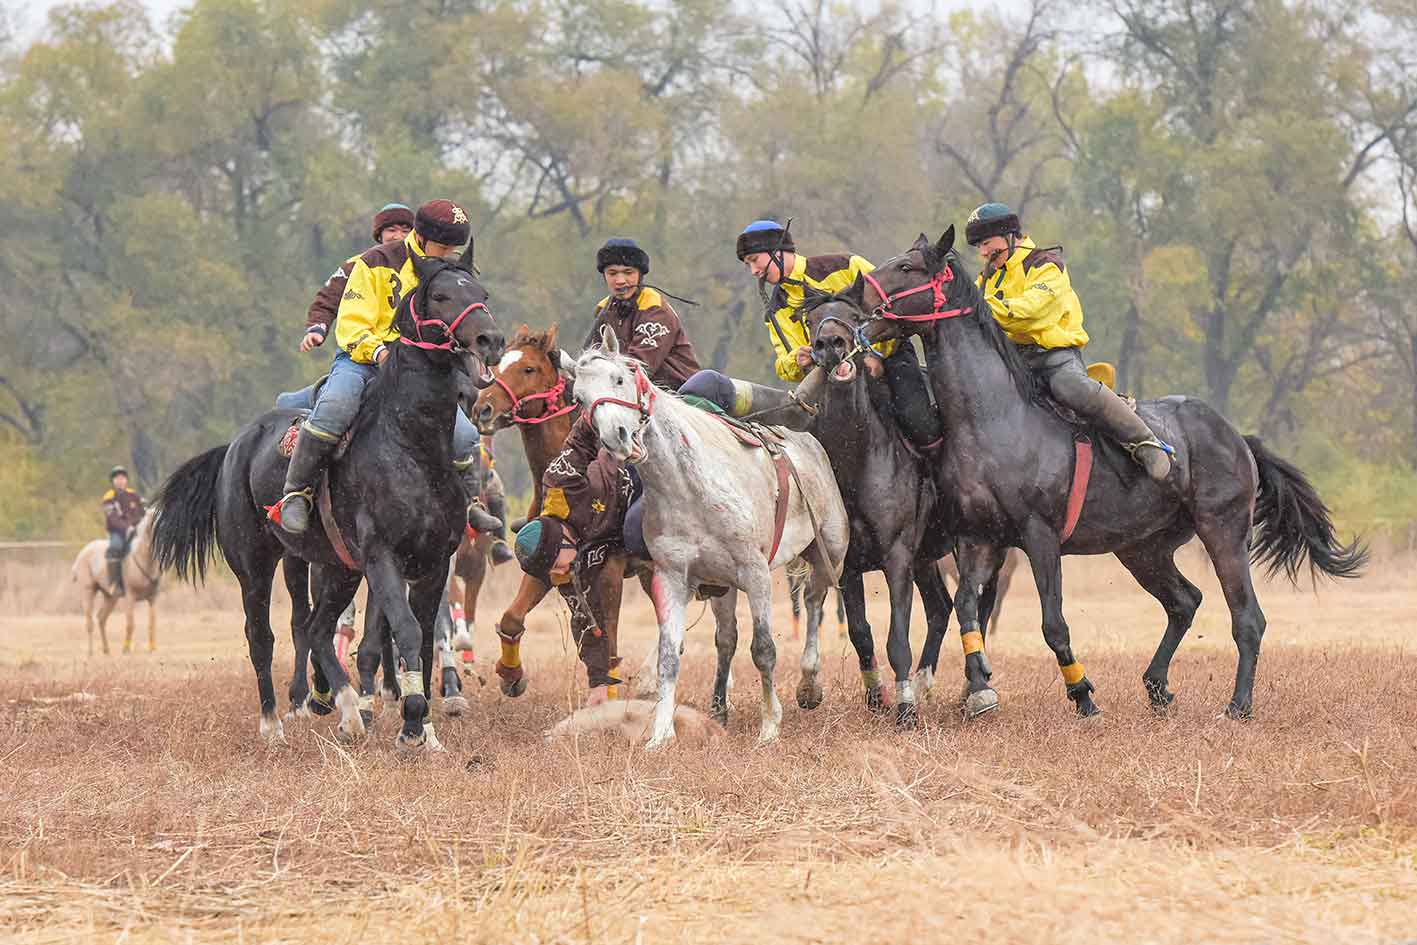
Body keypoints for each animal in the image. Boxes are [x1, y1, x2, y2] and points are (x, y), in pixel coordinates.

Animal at [71, 511, 162, 656]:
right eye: (154, 520)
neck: (144, 559)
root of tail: (83, 552)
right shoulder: (130, 597)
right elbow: (130, 624)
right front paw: (126, 649)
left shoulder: (153, 598)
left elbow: (152, 623)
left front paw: (152, 649)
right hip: (88, 592)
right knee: (89, 622)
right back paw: (90, 652)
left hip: (110, 597)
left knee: (101, 618)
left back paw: (106, 650)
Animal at [150, 251, 505, 751]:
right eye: (440, 294)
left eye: (481, 293)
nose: (490, 339)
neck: (409, 445)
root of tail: (237, 445)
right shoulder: (382, 559)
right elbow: (406, 631)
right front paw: (410, 722)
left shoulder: (434, 563)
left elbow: (426, 636)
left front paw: (422, 728)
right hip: (257, 566)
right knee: (263, 636)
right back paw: (275, 723)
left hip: (338, 570)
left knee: (317, 629)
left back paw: (349, 710)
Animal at [566, 327, 850, 748]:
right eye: (579, 399)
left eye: (619, 378)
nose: (617, 438)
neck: (689, 485)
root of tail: (809, 443)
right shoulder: (671, 577)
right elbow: (670, 656)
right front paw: (661, 733)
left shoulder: (755, 572)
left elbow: (764, 650)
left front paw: (769, 727)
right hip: (722, 586)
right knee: (727, 639)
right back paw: (719, 709)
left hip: (826, 551)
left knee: (815, 601)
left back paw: (808, 685)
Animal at [831, 226, 1366, 719]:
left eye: (906, 267)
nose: (853, 303)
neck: (991, 417)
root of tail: (1237, 436)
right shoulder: (981, 538)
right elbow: (966, 609)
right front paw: (980, 688)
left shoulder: (1039, 536)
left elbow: (1052, 623)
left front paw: (1082, 693)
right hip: (1142, 548)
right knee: (1184, 602)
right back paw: (1157, 686)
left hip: (1223, 532)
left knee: (1247, 617)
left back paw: (1237, 705)